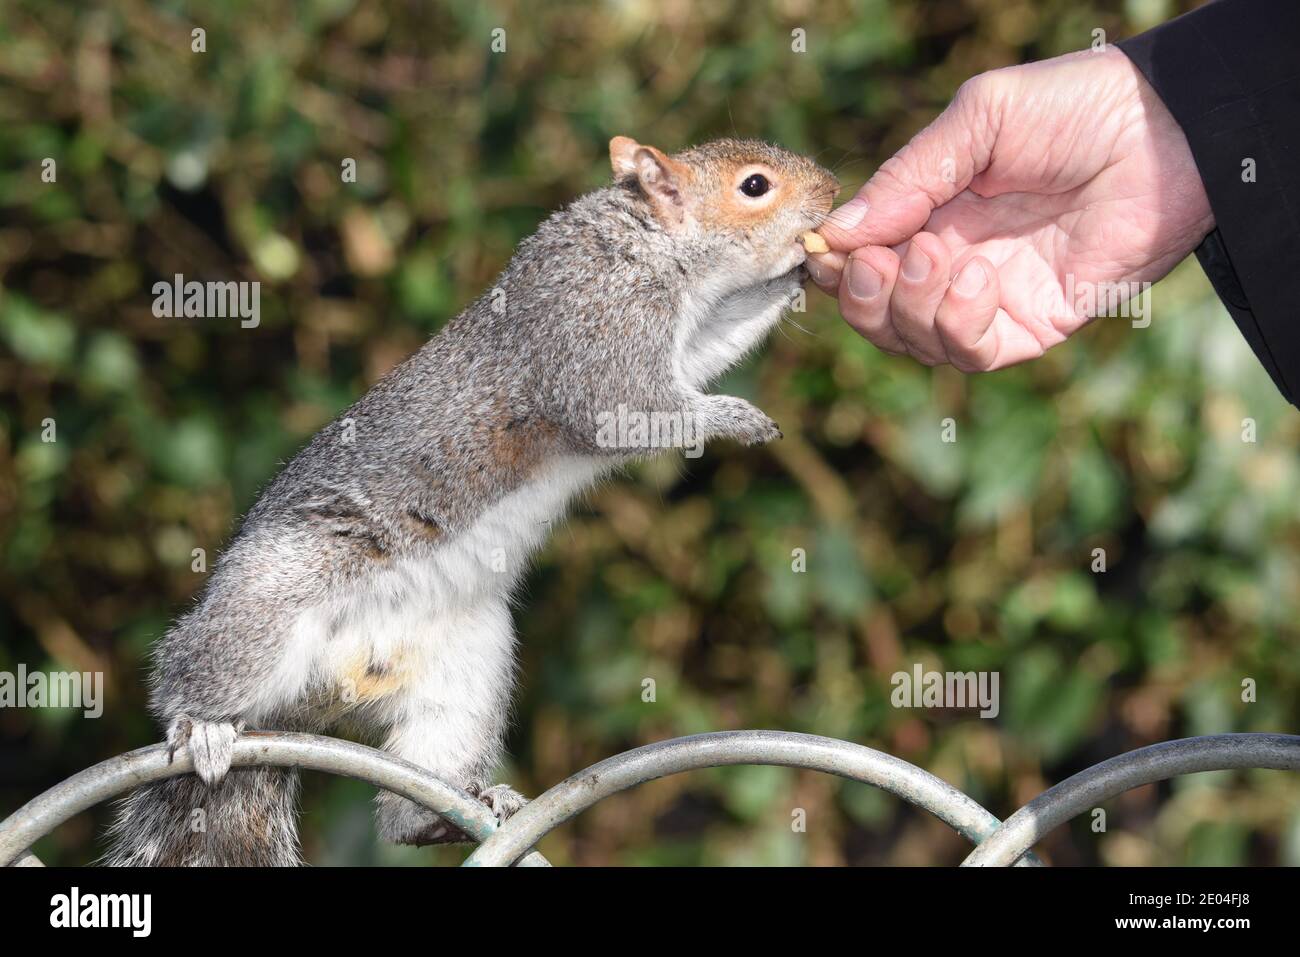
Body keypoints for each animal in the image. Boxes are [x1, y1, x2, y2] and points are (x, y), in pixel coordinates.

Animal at [105, 137, 838, 865]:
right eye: (754, 186)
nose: (832, 189)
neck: (650, 243)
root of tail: (308, 703)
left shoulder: (683, 337)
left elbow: (714, 346)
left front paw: (798, 275)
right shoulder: (594, 327)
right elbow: (625, 409)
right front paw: (735, 414)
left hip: (467, 669)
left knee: (408, 800)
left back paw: (453, 814)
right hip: (270, 600)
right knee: (198, 672)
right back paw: (201, 726)